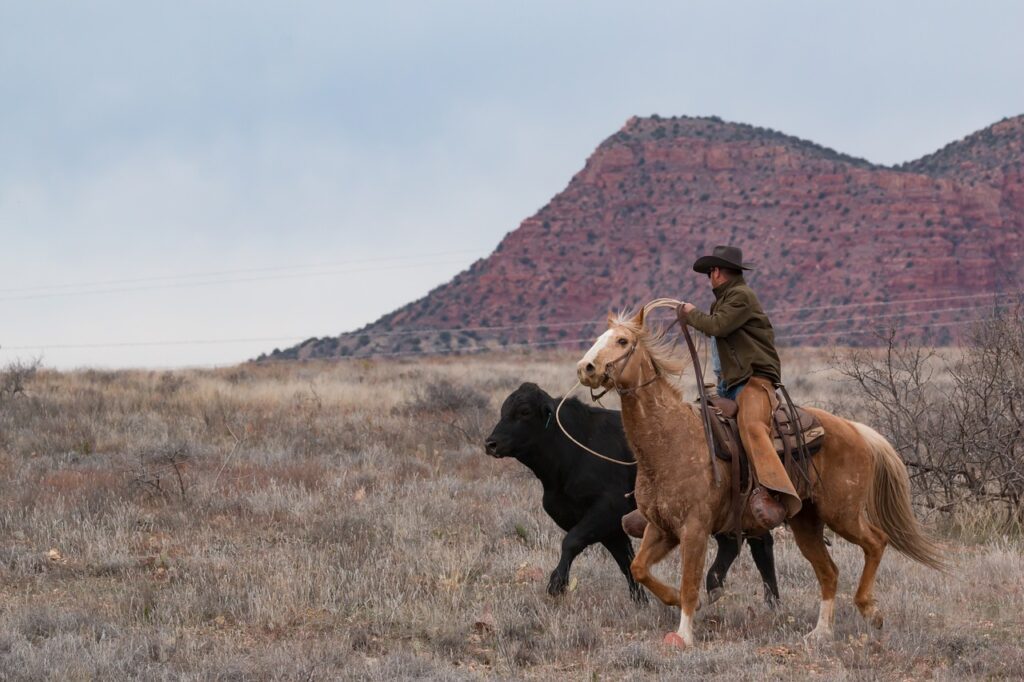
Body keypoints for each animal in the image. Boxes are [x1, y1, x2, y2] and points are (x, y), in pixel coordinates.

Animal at [483, 382, 778, 606]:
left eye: (524, 411)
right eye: (503, 410)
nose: (491, 443)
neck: (574, 450)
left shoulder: (605, 511)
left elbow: (571, 541)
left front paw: (557, 584)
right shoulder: (611, 528)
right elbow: (625, 561)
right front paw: (640, 601)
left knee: (760, 545)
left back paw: (770, 600)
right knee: (734, 544)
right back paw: (720, 588)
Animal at [577, 305, 942, 647]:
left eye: (622, 341)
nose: (586, 368)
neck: (671, 440)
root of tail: (855, 429)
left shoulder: (695, 529)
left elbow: (690, 583)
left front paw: (684, 635)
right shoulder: (662, 527)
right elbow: (640, 569)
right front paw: (675, 601)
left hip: (843, 513)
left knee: (876, 542)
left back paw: (870, 610)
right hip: (806, 522)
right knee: (829, 572)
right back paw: (820, 633)